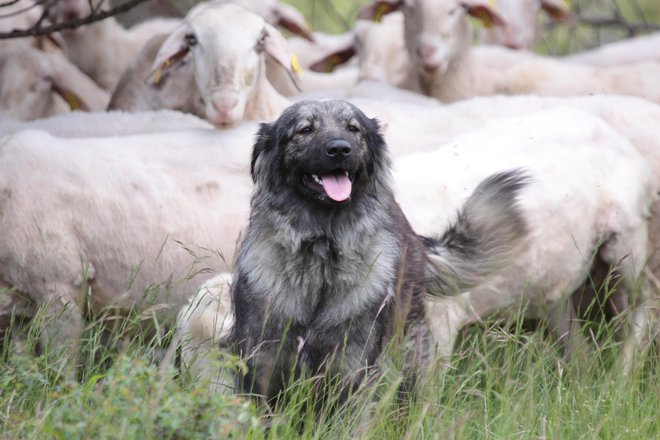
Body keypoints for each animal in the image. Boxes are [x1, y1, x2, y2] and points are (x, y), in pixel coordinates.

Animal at [229, 99, 528, 406]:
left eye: (353, 128)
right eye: (306, 129)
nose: (340, 149)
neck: (323, 252)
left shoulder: (352, 370)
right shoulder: (261, 367)